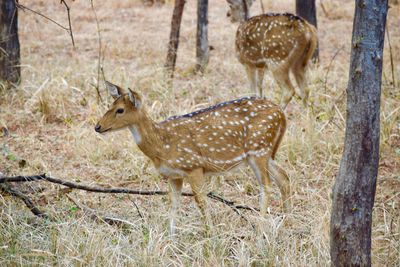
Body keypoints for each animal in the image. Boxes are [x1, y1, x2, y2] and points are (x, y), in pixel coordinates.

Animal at [97, 82, 290, 237]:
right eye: (110, 105)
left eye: (120, 110)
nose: (97, 126)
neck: (161, 146)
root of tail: (281, 113)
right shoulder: (174, 175)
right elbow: (174, 204)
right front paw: (171, 238)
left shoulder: (194, 166)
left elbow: (201, 202)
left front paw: (211, 236)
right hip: (264, 152)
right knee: (284, 177)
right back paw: (285, 221)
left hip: (258, 149)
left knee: (266, 185)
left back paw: (260, 230)